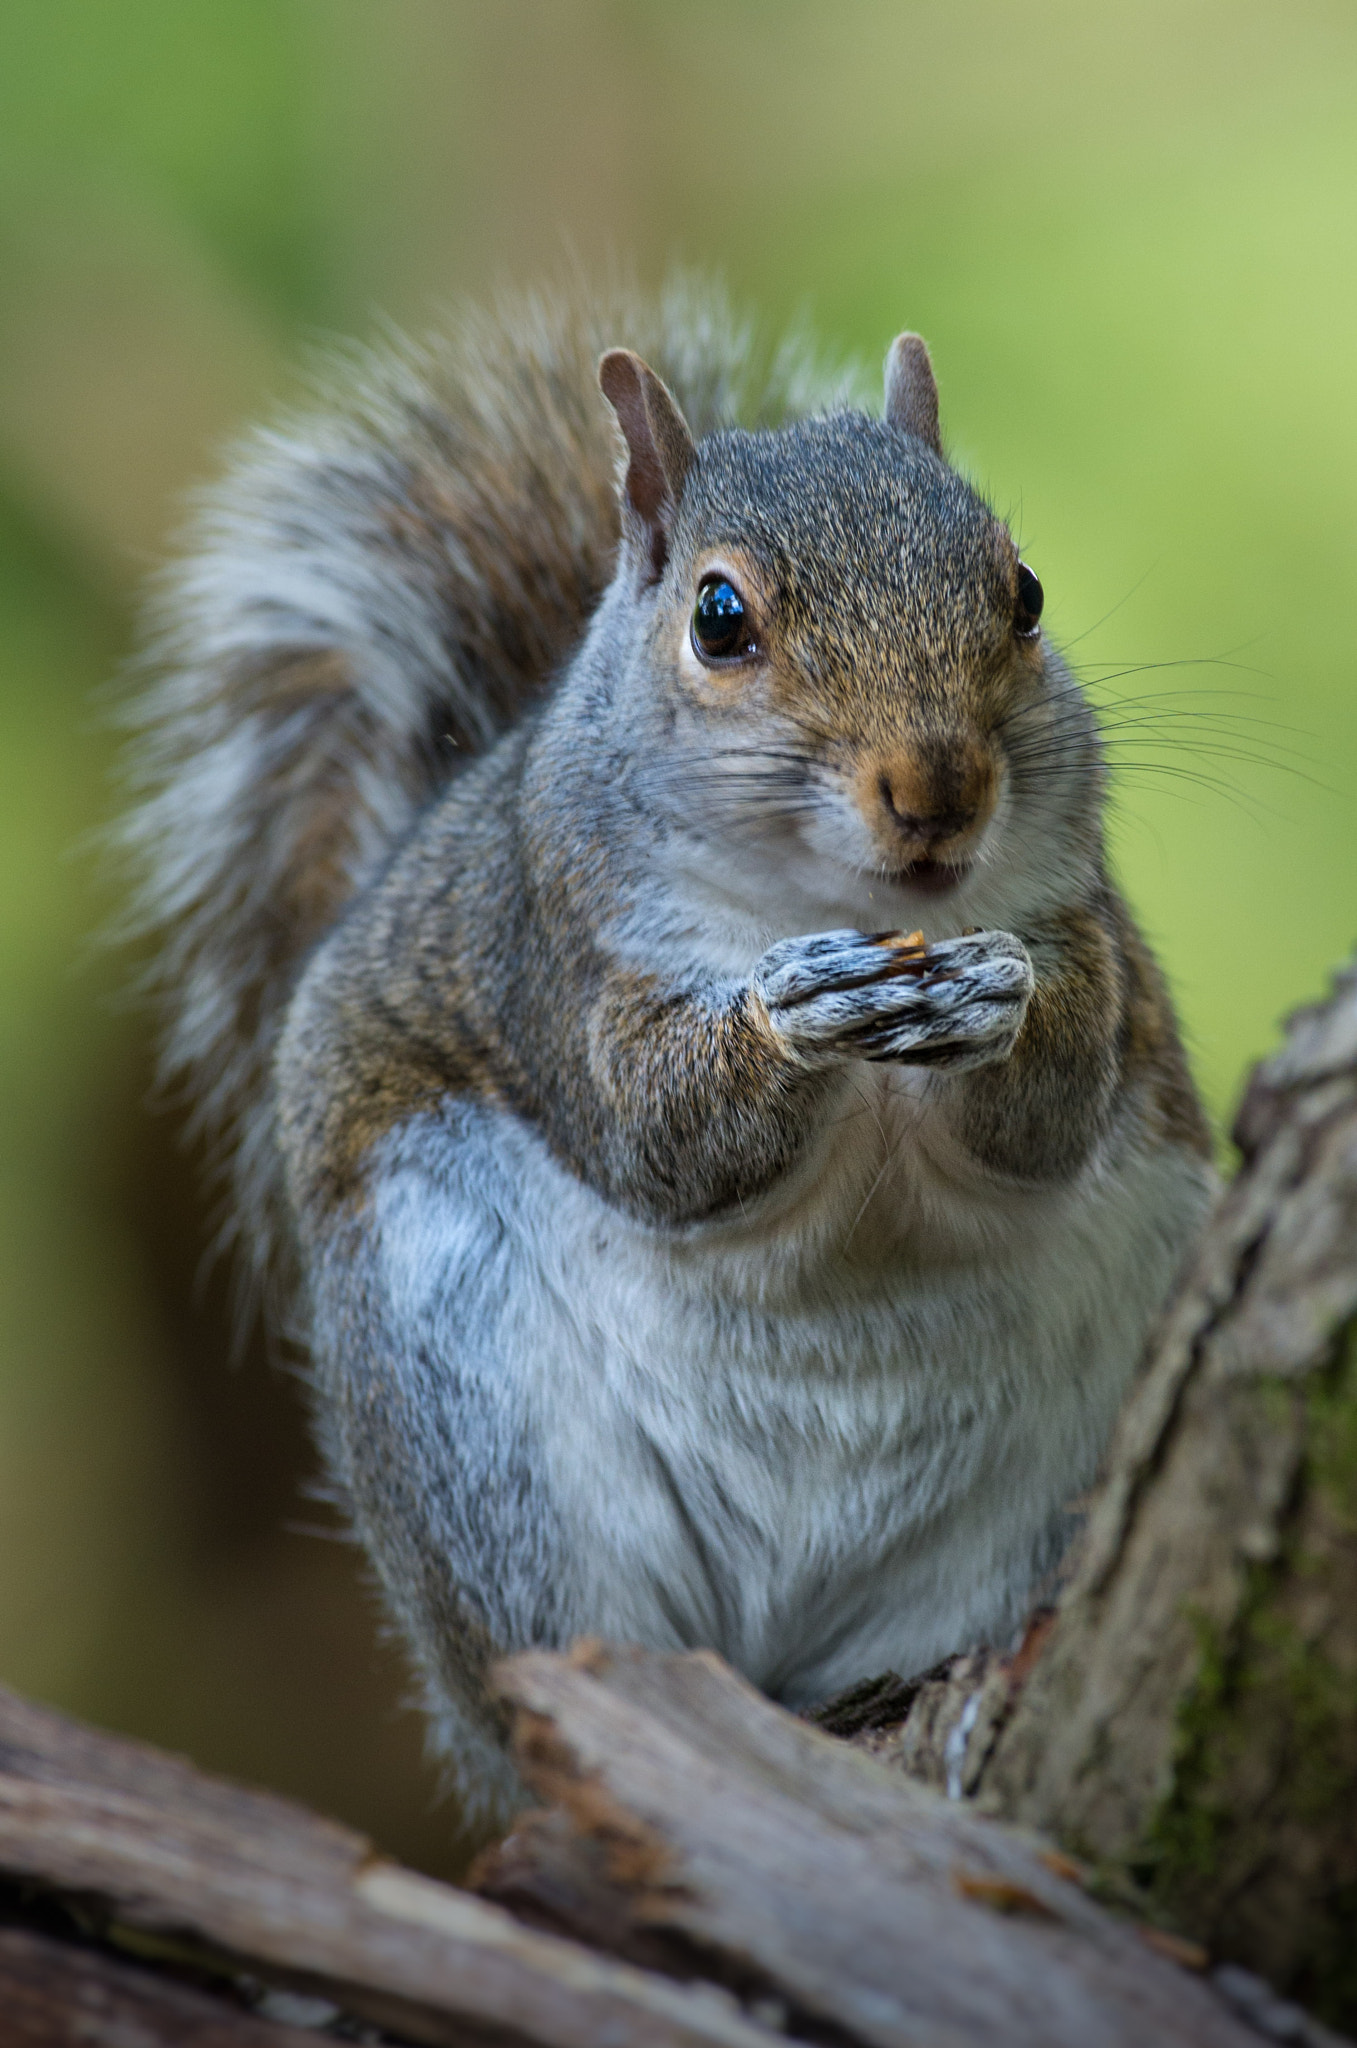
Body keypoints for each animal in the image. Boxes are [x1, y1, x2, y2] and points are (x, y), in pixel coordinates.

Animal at [123, 280, 1215, 1826]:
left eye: (1026, 593)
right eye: (719, 617)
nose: (938, 789)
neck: (844, 910)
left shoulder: (1089, 933)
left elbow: (1055, 1103)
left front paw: (993, 1007)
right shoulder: (553, 958)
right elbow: (657, 1133)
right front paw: (787, 1013)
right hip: (478, 1429)